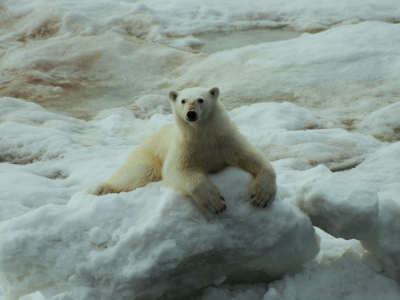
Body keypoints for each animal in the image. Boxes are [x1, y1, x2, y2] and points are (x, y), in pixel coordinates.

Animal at [90, 88, 276, 214]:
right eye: (183, 100)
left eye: (200, 99)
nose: (191, 114)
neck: (204, 138)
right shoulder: (184, 148)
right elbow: (176, 170)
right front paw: (216, 203)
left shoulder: (227, 141)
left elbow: (253, 157)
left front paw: (261, 196)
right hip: (147, 155)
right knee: (140, 173)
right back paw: (100, 188)